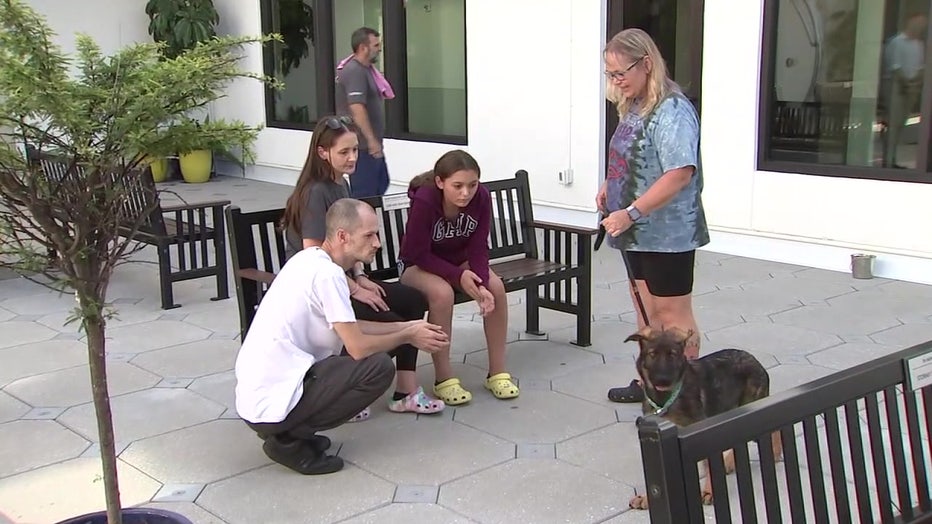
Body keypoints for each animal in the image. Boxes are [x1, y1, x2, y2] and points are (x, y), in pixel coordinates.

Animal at [624, 326, 784, 510]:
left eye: (673, 355)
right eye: (652, 354)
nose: (663, 380)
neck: (666, 398)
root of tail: (753, 359)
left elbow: (707, 465)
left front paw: (709, 492)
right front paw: (646, 498)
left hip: (753, 403)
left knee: (773, 427)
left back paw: (774, 452)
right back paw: (729, 463)